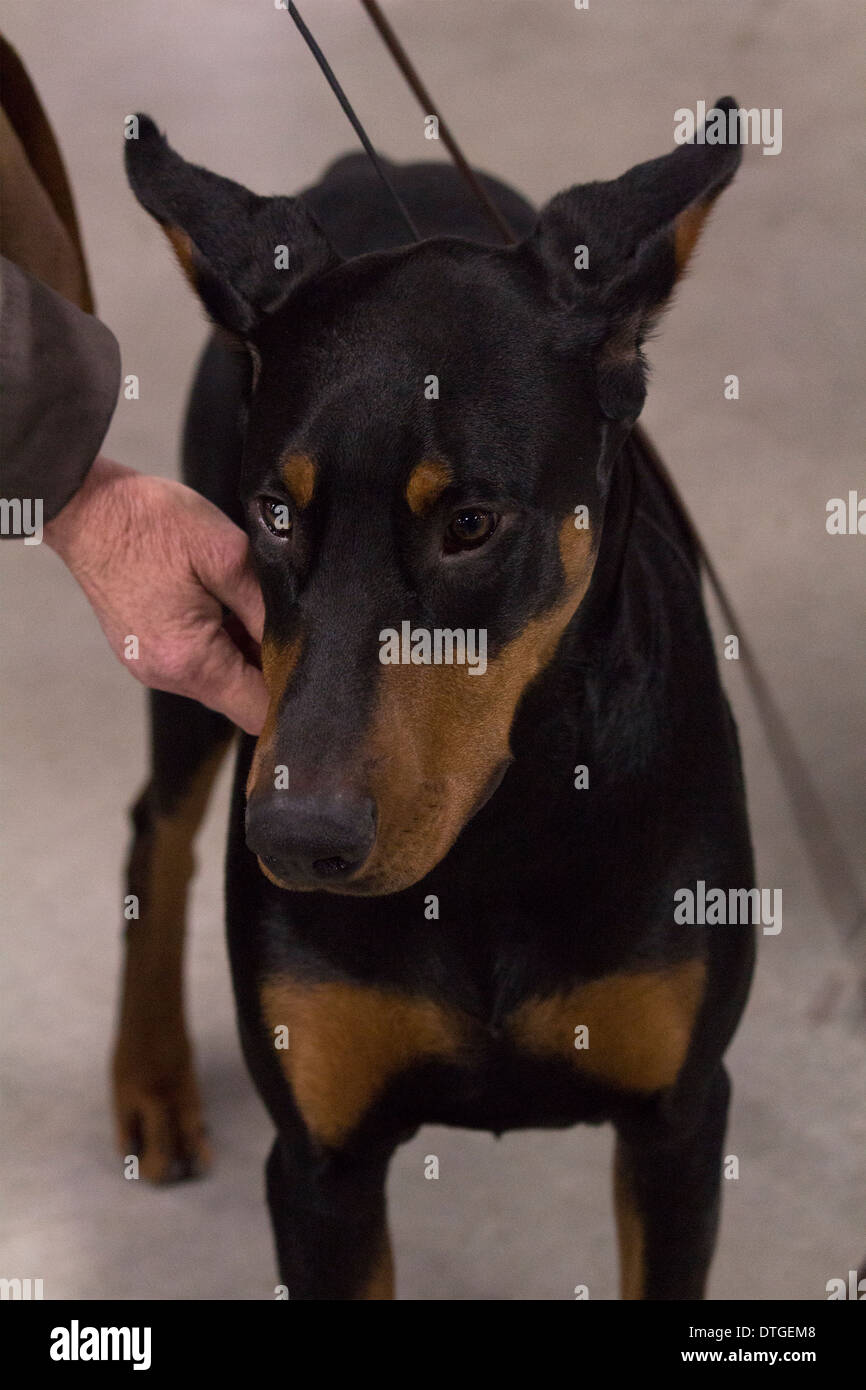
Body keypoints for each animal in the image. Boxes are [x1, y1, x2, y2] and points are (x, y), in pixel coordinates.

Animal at [116, 100, 756, 1301]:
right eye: (275, 512)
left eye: (470, 523)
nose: (296, 838)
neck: (494, 838)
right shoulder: (321, 1165)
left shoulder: (679, 1122)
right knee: (157, 827)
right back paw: (151, 1077)